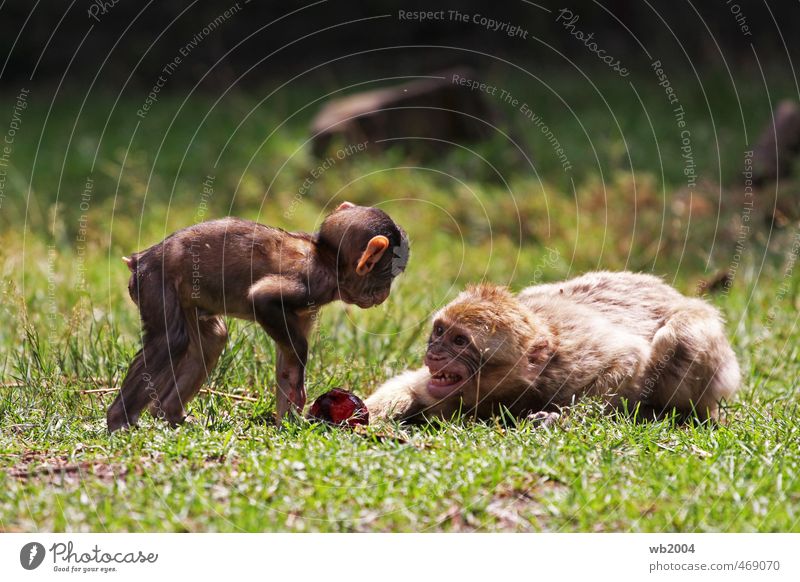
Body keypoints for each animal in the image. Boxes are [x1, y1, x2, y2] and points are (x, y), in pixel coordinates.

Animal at [109, 202, 410, 434]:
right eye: (390, 274)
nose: (385, 294)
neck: (326, 258)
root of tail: (140, 259)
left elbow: (287, 359)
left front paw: (288, 421)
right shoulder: (310, 284)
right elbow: (264, 300)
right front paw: (298, 399)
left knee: (211, 339)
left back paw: (171, 415)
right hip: (155, 282)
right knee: (172, 340)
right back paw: (119, 420)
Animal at [366, 272, 740, 426]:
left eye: (460, 341)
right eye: (439, 331)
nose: (435, 353)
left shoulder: (568, 363)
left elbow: (628, 358)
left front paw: (561, 418)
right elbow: (411, 386)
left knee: (679, 337)